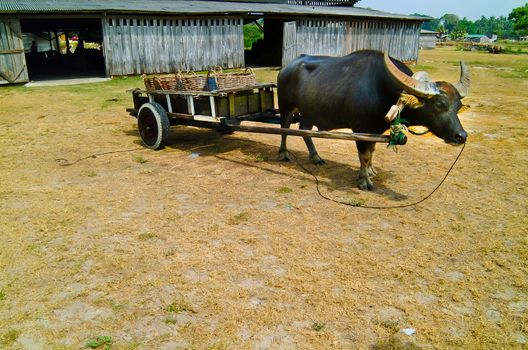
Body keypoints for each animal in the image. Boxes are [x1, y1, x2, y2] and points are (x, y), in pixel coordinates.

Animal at [276, 49, 470, 190]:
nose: (461, 136)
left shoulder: (375, 130)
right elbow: (364, 155)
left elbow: (372, 151)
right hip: (286, 106)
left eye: (458, 106)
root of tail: (287, 67)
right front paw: (364, 181)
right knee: (284, 127)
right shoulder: (361, 130)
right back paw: (283, 154)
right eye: (440, 104)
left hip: (309, 111)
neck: (382, 90)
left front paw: (370, 171)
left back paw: (316, 157)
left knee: (304, 130)